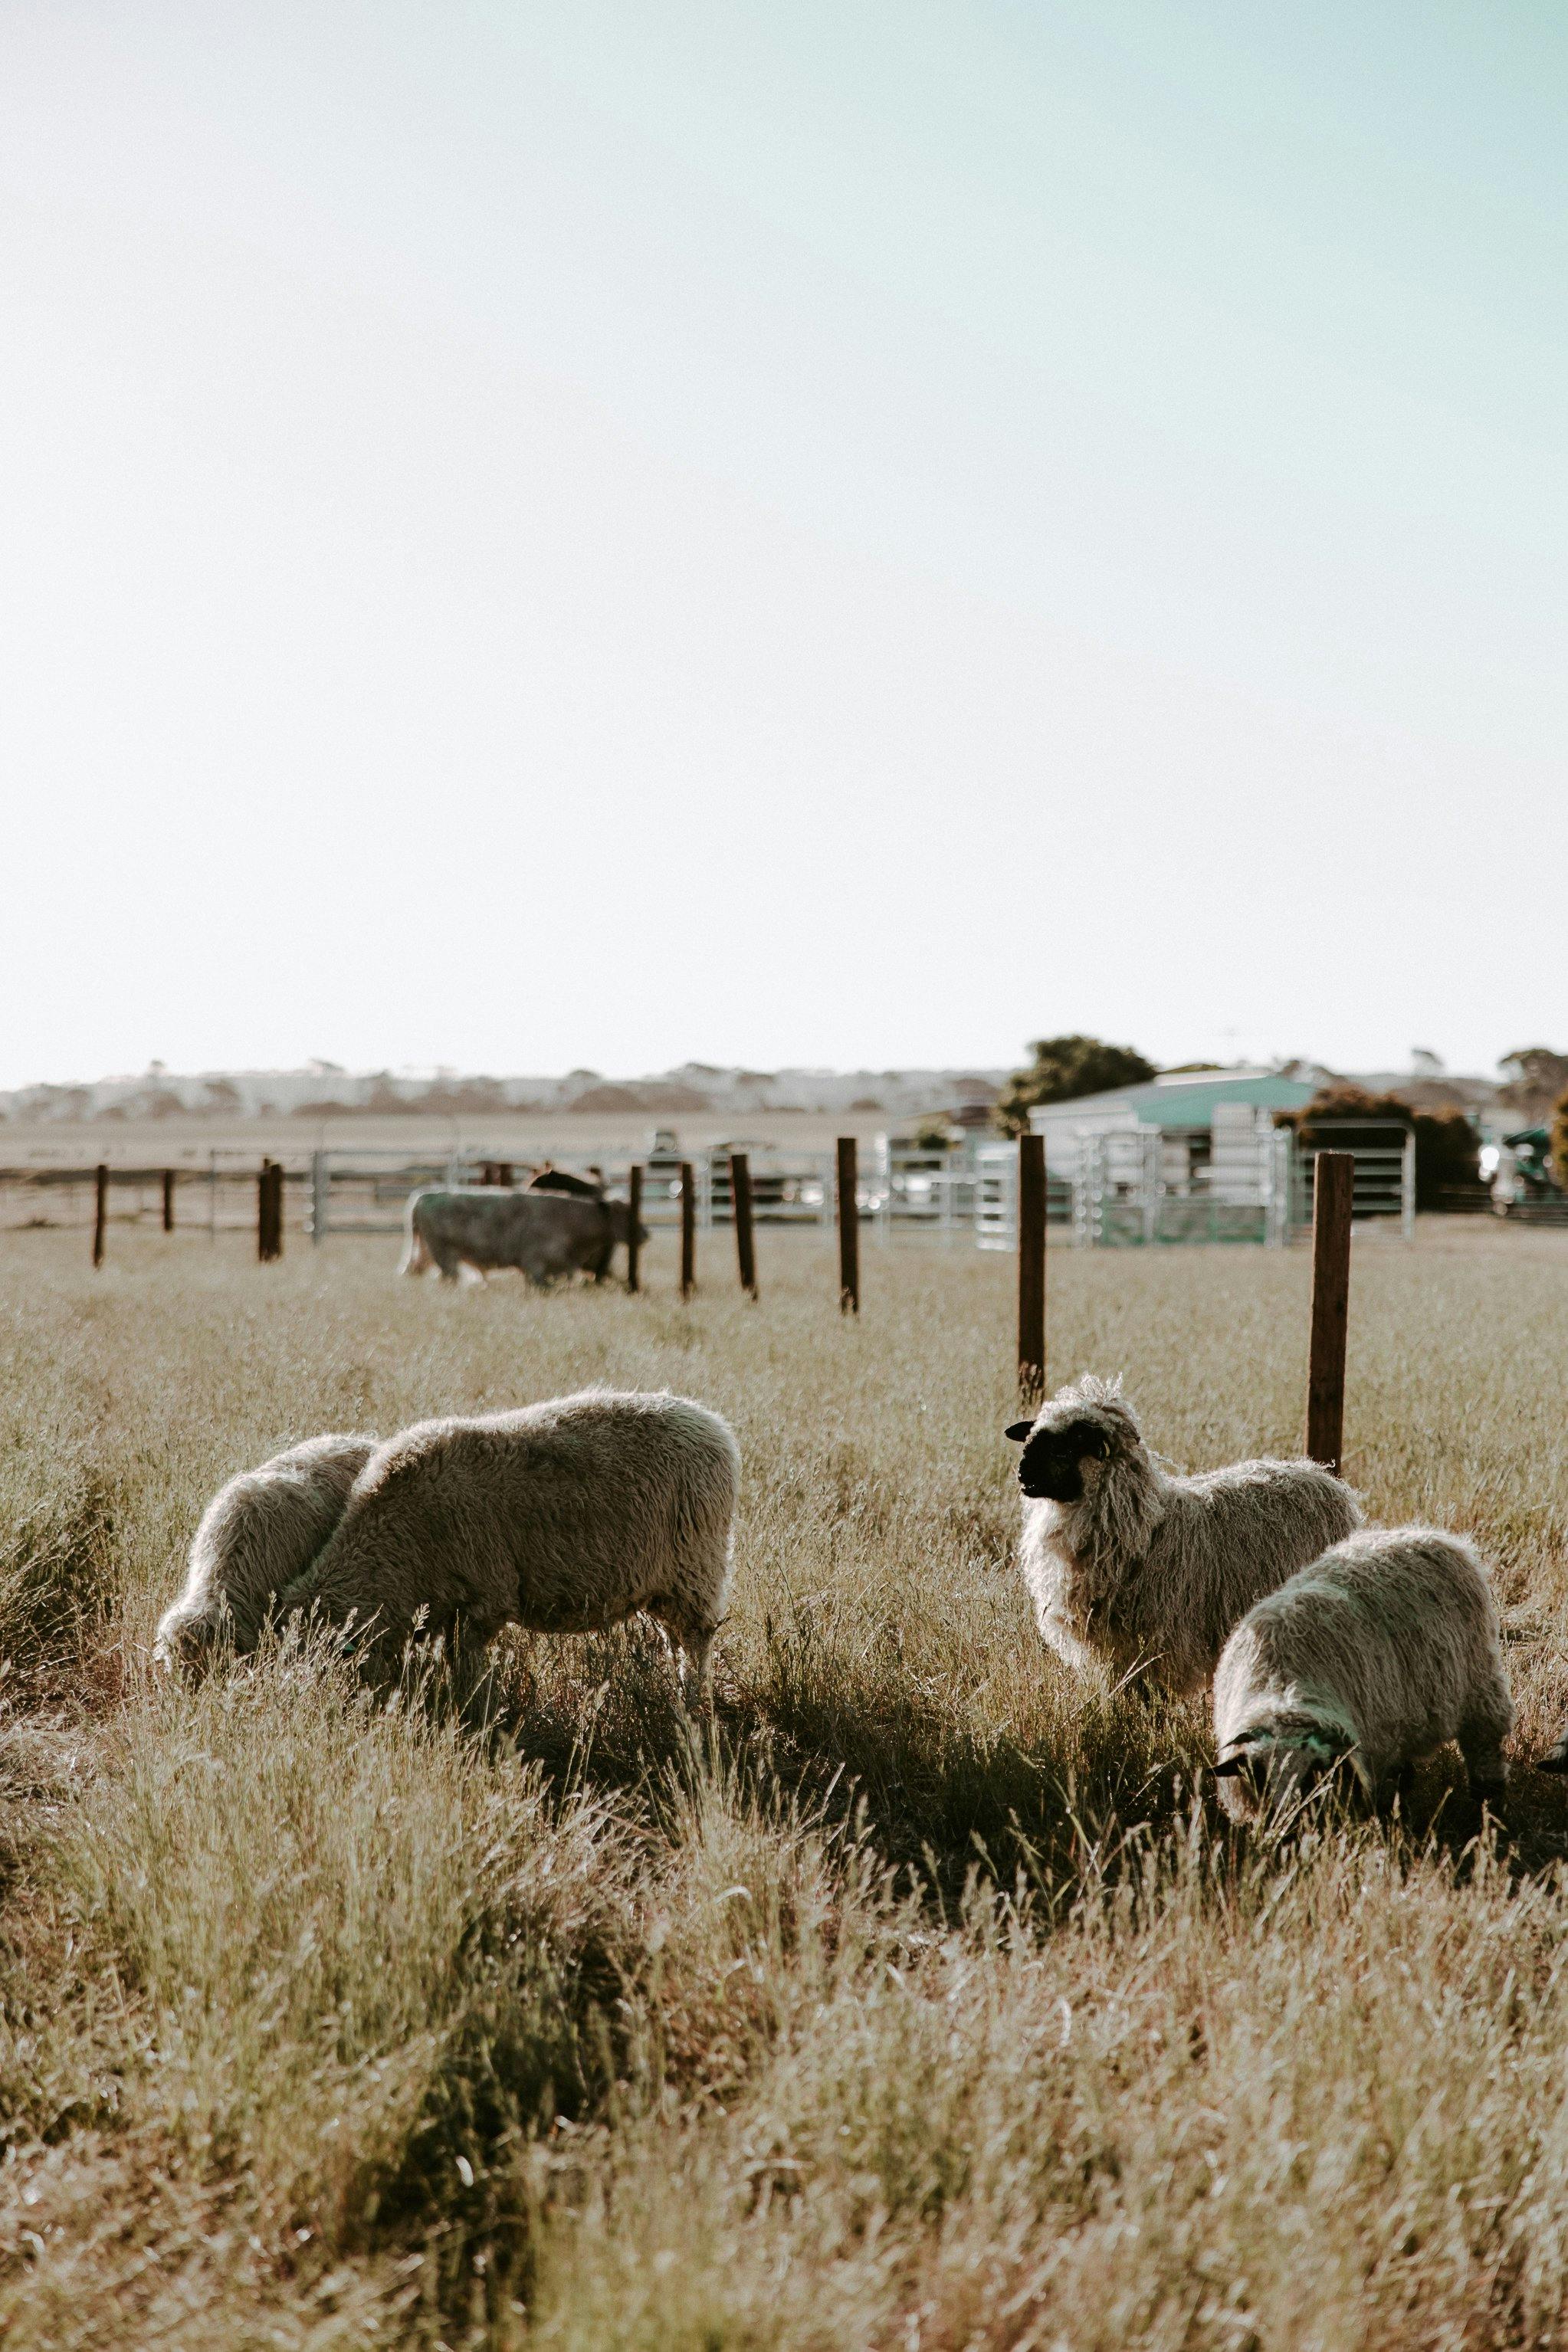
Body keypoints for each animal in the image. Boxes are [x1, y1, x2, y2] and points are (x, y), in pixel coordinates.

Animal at [274, 1388, 740, 1706]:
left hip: (695, 1568)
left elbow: (467, 1668)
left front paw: (474, 1712)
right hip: (666, 1585)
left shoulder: (483, 1601)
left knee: (696, 1641)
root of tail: (712, 1424)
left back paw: (692, 1703)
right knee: (675, 1640)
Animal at [1005, 1374, 1362, 1694]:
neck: (1143, 1527)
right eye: (1031, 1439)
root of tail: (1325, 1478)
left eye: (1064, 1449)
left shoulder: (1157, 1643)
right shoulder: (1117, 1650)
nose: (1022, 1472)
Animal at [1212, 1526, 1513, 1819]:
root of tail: (1427, 1533)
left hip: (1479, 1682)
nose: (1287, 1821)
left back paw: (1488, 1803)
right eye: (1259, 1775)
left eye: (1312, 1775)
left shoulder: (1376, 1747)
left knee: (1483, 1743)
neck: (1282, 1687)